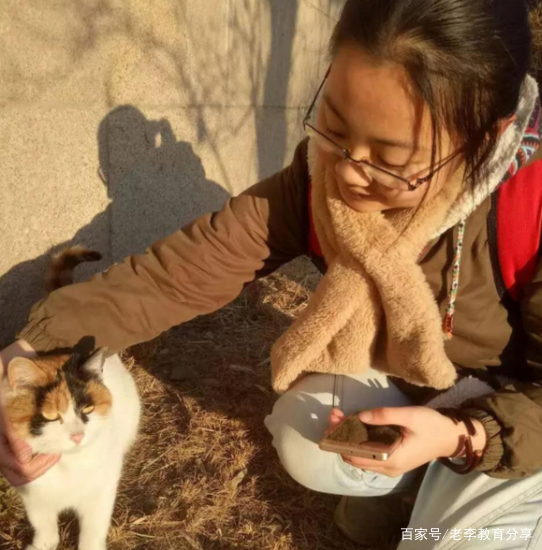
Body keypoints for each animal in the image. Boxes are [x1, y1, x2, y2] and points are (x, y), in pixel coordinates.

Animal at [1, 250, 142, 550]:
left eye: (87, 407)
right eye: (51, 416)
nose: (77, 435)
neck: (69, 466)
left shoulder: (101, 493)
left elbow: (92, 531)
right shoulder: (33, 496)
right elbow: (43, 526)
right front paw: (42, 545)